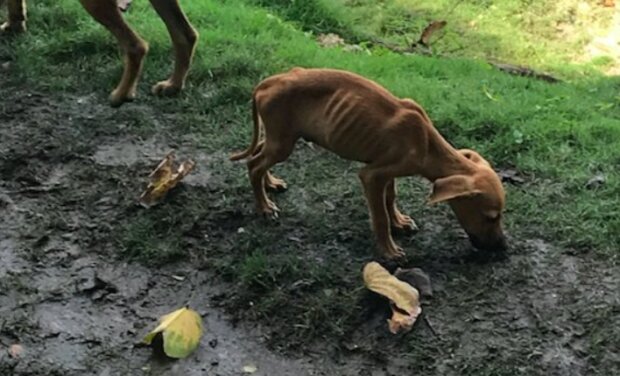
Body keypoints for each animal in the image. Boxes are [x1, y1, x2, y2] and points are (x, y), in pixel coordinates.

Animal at [230, 68, 506, 258]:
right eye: (491, 217)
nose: (503, 248)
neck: (426, 144)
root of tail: (268, 82)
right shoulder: (371, 176)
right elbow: (380, 216)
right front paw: (389, 250)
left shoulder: (386, 172)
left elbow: (390, 198)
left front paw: (399, 222)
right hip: (282, 142)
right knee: (254, 165)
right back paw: (264, 207)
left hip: (278, 137)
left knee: (259, 157)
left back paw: (270, 184)